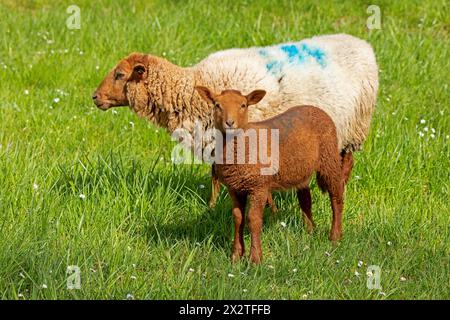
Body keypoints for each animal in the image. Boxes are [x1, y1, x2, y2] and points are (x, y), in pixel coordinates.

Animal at [195, 85, 346, 264]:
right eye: (217, 105)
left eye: (243, 105)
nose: (230, 123)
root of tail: (316, 108)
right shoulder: (235, 188)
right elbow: (238, 218)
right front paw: (236, 255)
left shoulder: (258, 186)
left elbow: (253, 219)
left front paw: (255, 258)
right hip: (300, 169)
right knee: (305, 199)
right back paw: (310, 231)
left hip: (329, 157)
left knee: (336, 196)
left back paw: (335, 237)